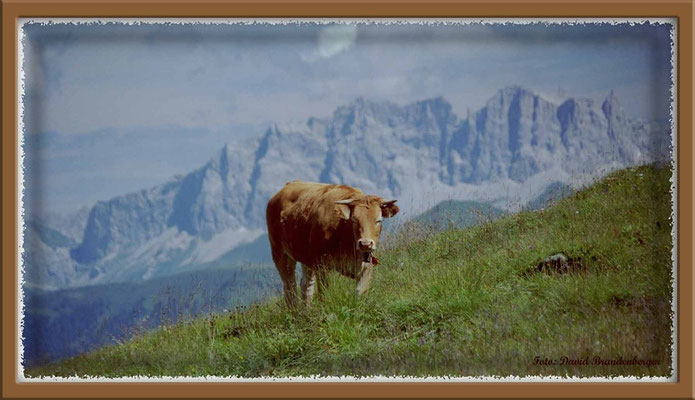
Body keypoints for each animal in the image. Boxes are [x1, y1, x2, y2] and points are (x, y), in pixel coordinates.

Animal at [266, 181, 399, 307]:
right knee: (290, 286)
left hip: (306, 259)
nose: (365, 244)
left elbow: (361, 295)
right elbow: (324, 295)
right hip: (279, 253)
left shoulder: (366, 267)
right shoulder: (322, 266)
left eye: (378, 220)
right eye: (354, 220)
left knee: (306, 284)